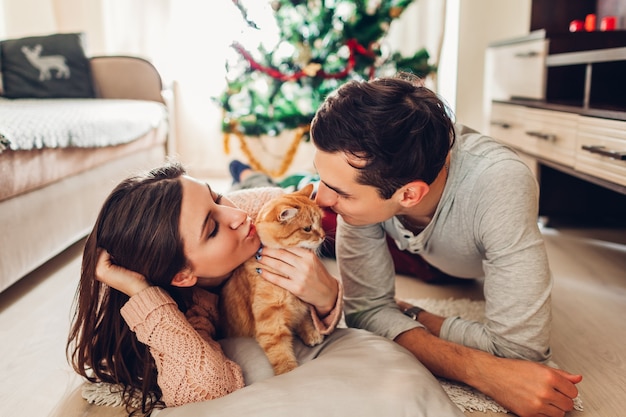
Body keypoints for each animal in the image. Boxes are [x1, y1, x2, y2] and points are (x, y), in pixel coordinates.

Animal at [218, 184, 324, 376]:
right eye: (307, 228)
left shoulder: (301, 301)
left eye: (320, 222)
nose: (323, 236)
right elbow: (280, 351)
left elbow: (304, 318)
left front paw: (311, 334)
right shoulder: (270, 318)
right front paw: (288, 371)